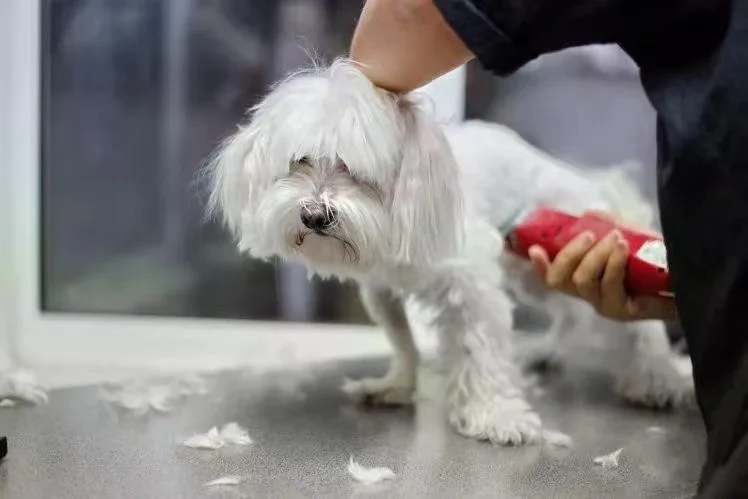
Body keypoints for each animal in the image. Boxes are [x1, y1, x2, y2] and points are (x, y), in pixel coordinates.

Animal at [206, 60, 696, 448]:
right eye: (300, 161)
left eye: (356, 170)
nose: (314, 215)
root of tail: (585, 182)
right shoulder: (381, 291)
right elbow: (402, 341)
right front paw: (397, 384)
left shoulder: (472, 286)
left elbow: (481, 349)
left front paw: (495, 416)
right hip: (538, 268)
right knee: (570, 312)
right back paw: (548, 352)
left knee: (632, 321)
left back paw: (657, 376)